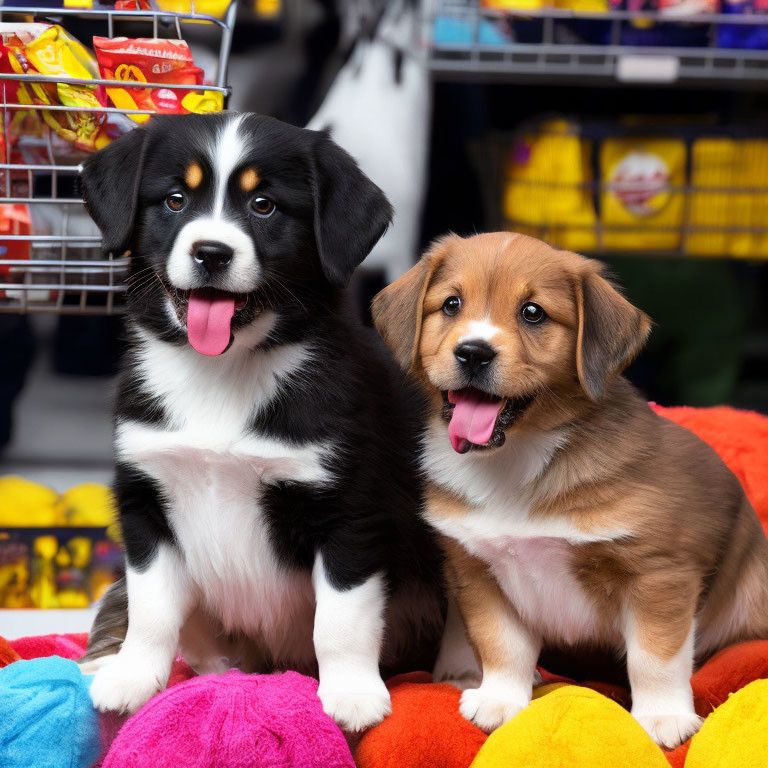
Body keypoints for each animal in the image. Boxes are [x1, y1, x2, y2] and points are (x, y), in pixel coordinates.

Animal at [78, 111, 444, 728]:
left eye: (264, 206)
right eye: (175, 200)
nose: (211, 252)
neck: (221, 373)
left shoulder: (348, 512)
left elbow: (341, 620)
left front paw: (350, 694)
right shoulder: (145, 500)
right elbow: (152, 608)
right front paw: (132, 676)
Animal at [372, 232, 768, 752]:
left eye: (533, 312)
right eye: (451, 304)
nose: (473, 352)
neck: (516, 462)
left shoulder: (659, 574)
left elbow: (654, 657)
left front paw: (662, 717)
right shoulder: (478, 571)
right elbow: (501, 645)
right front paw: (501, 700)